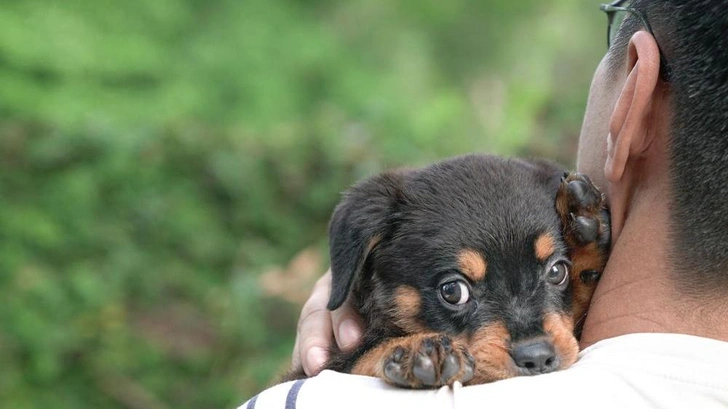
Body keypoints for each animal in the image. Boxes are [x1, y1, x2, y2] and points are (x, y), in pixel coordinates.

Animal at [290, 152, 608, 386]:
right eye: (453, 291)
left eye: (556, 272)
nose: (538, 357)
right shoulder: (325, 364)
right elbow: (359, 358)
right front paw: (417, 349)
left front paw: (583, 224)